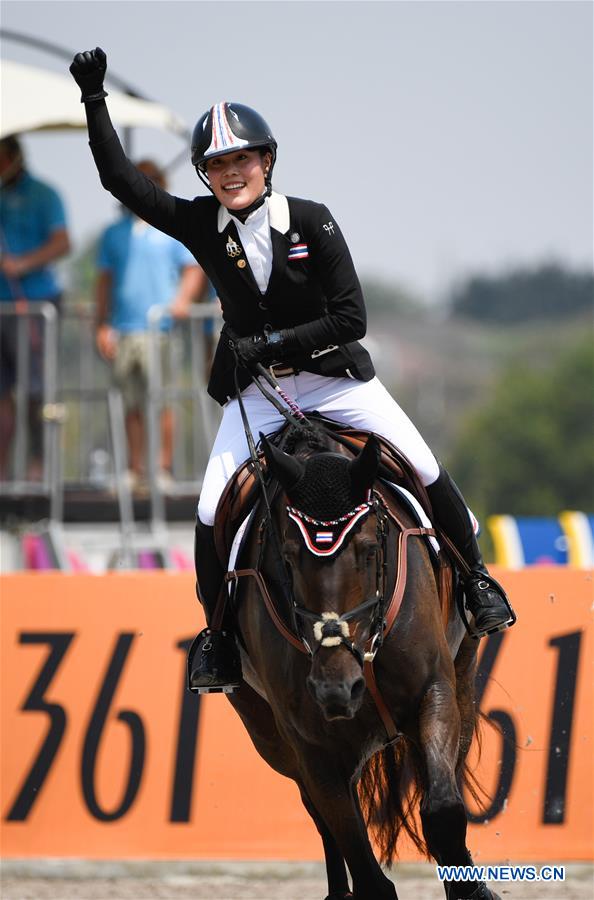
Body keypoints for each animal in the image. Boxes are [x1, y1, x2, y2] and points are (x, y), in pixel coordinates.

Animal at [222, 424, 494, 900]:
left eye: (369, 550)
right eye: (287, 557)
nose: (336, 688)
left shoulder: (434, 691)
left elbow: (443, 811)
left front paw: (473, 890)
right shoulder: (311, 746)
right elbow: (362, 863)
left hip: (461, 679)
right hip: (274, 740)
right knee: (321, 817)